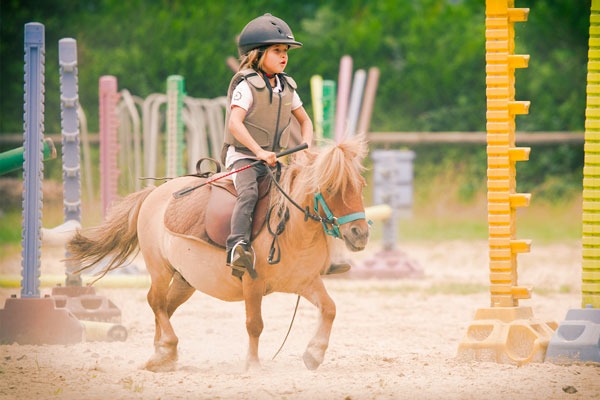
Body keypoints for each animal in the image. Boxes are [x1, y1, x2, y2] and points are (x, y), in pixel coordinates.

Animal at [67, 138, 370, 372]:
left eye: (360, 185)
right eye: (331, 188)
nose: (361, 233)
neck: (293, 230)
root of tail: (154, 192)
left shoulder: (306, 281)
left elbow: (330, 309)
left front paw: (314, 354)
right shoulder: (252, 283)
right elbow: (255, 324)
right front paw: (253, 365)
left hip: (185, 280)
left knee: (165, 307)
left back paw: (160, 355)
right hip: (159, 269)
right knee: (155, 302)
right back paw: (166, 349)